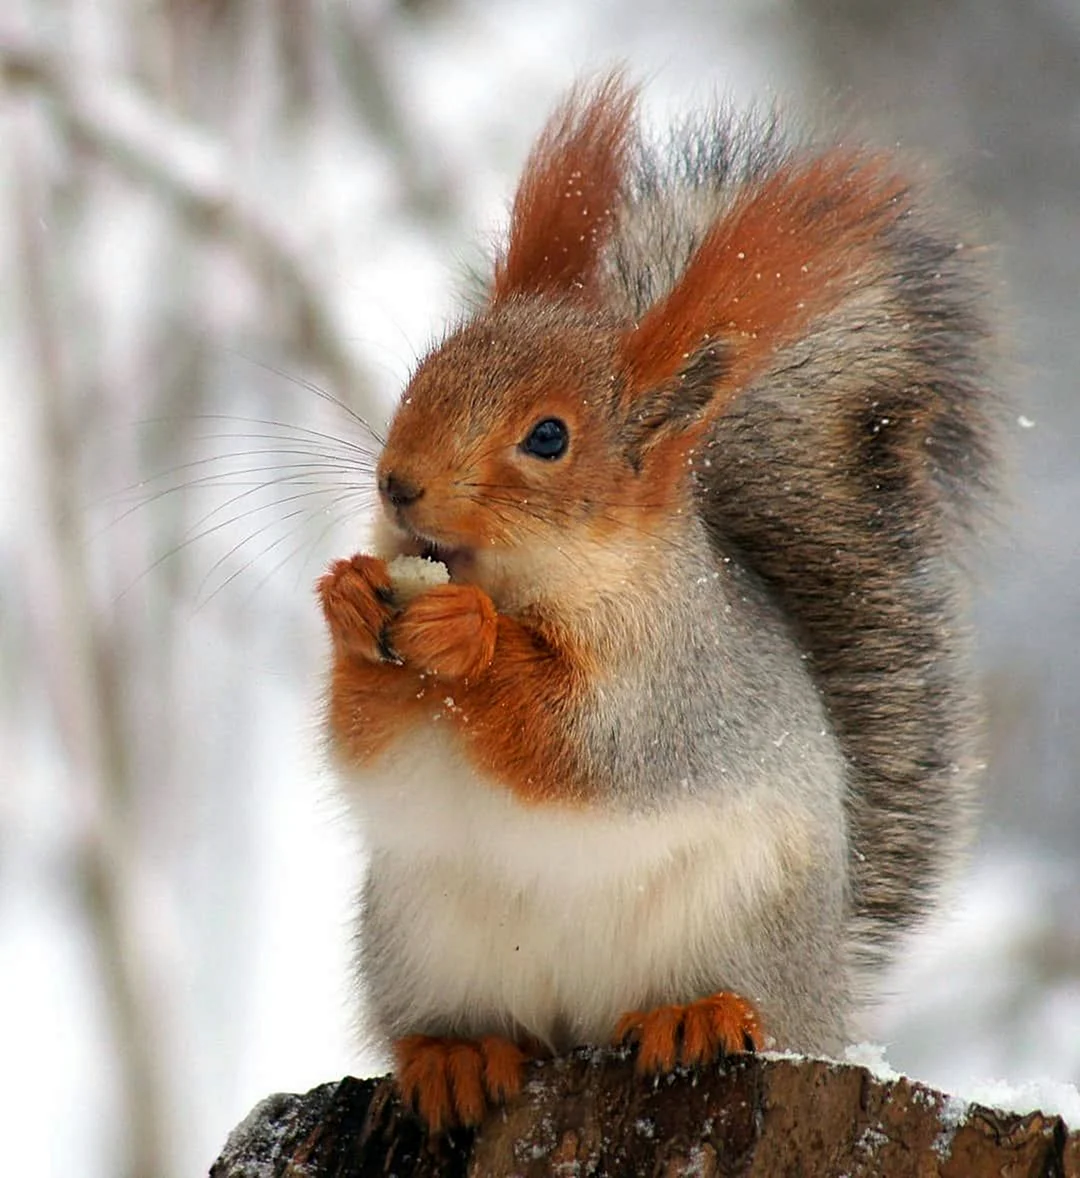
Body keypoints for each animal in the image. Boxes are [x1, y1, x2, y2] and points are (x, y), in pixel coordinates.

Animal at [313, 73, 994, 1130]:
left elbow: (585, 743)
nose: (397, 485)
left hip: (744, 925)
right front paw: (351, 602)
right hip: (420, 941)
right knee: (461, 1023)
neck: (531, 581)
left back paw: (696, 1017)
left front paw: (471, 637)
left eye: (549, 437)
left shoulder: (675, 677)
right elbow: (365, 739)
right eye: (422, 376)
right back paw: (458, 1054)